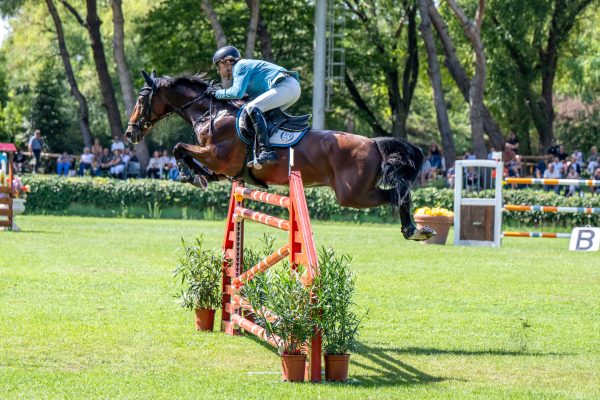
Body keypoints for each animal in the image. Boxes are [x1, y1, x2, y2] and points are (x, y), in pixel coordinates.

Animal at [125, 69, 436, 241]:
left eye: (141, 98)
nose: (130, 133)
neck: (212, 114)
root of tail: (373, 142)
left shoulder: (216, 155)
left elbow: (179, 147)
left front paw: (188, 174)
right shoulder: (223, 169)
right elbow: (198, 164)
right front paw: (197, 176)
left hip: (352, 194)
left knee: (397, 193)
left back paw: (414, 229)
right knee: (398, 192)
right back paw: (416, 230)